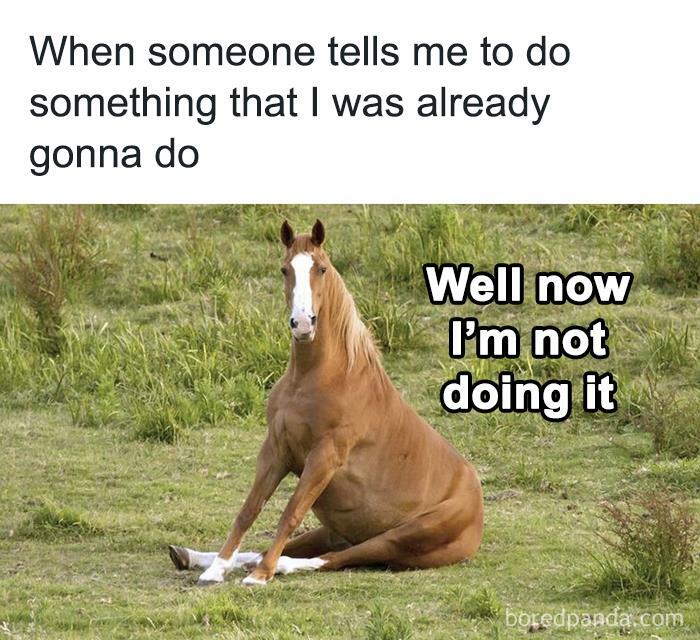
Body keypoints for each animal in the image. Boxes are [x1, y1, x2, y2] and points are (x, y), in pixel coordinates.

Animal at [168, 219, 484, 586]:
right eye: (285, 269)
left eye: (321, 268)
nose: (303, 324)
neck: (316, 379)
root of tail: (476, 510)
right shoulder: (276, 449)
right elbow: (249, 510)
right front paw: (217, 568)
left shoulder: (324, 458)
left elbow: (290, 513)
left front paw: (260, 575)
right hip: (336, 530)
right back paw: (192, 556)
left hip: (399, 538)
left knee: (339, 558)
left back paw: (276, 566)